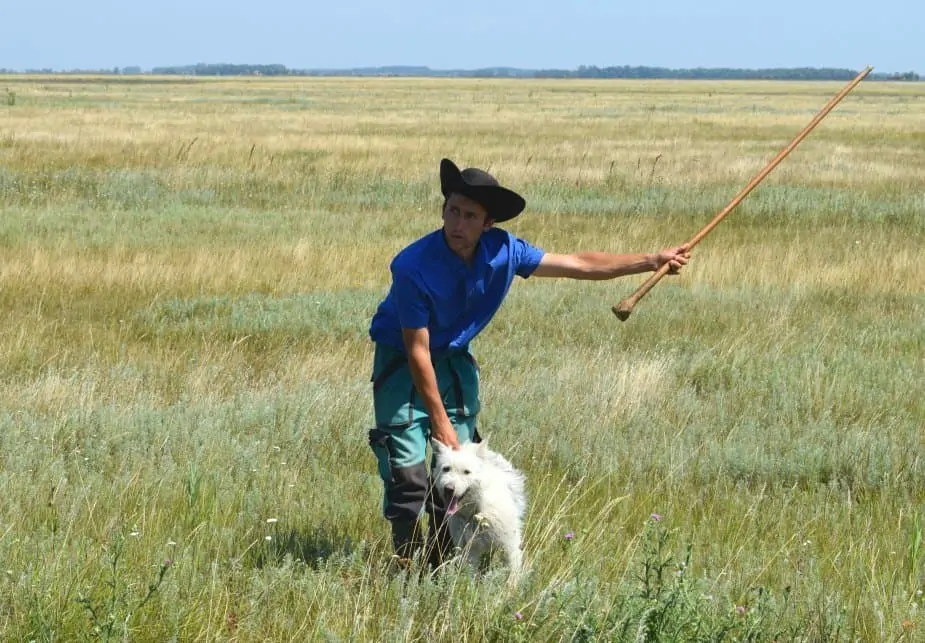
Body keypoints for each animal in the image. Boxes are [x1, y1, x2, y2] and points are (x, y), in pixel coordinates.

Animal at [430, 438, 524, 580]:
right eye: (446, 469)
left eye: (466, 472)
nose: (449, 489)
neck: (476, 511)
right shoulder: (469, 551)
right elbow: (469, 574)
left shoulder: (509, 546)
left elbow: (512, 572)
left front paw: (511, 586)